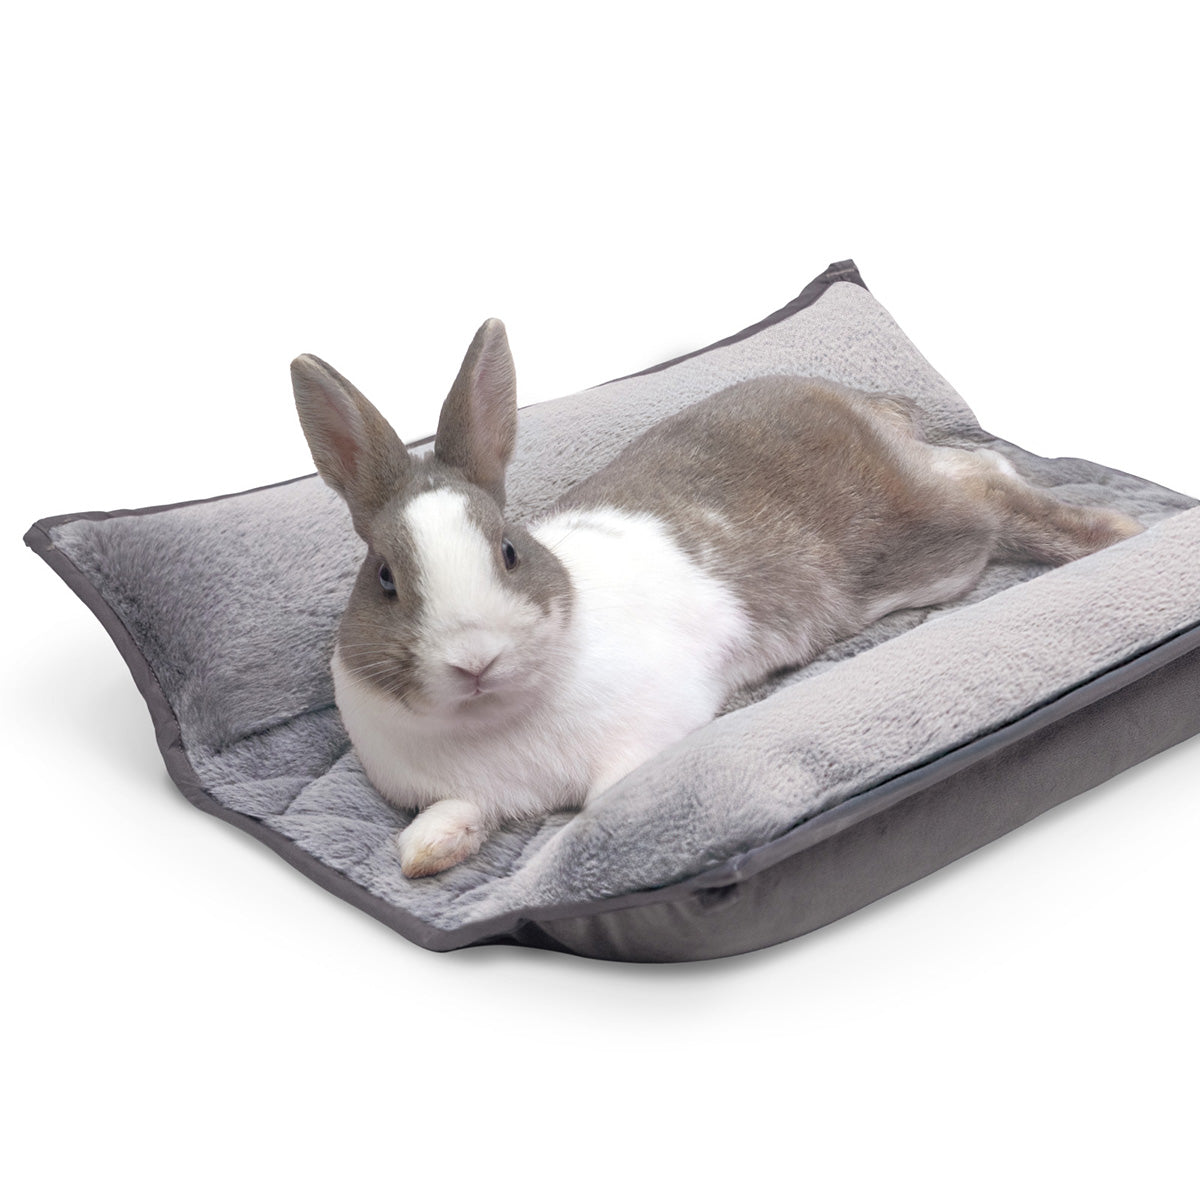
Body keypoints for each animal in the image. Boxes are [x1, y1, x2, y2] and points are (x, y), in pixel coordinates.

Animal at [292, 320, 1144, 878]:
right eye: (385, 579)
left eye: (508, 550)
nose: (475, 658)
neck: (493, 720)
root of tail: (857, 402)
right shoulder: (459, 790)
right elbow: (449, 816)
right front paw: (425, 854)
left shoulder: (649, 728)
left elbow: (602, 801)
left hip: (936, 540)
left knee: (990, 483)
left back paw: (1113, 532)